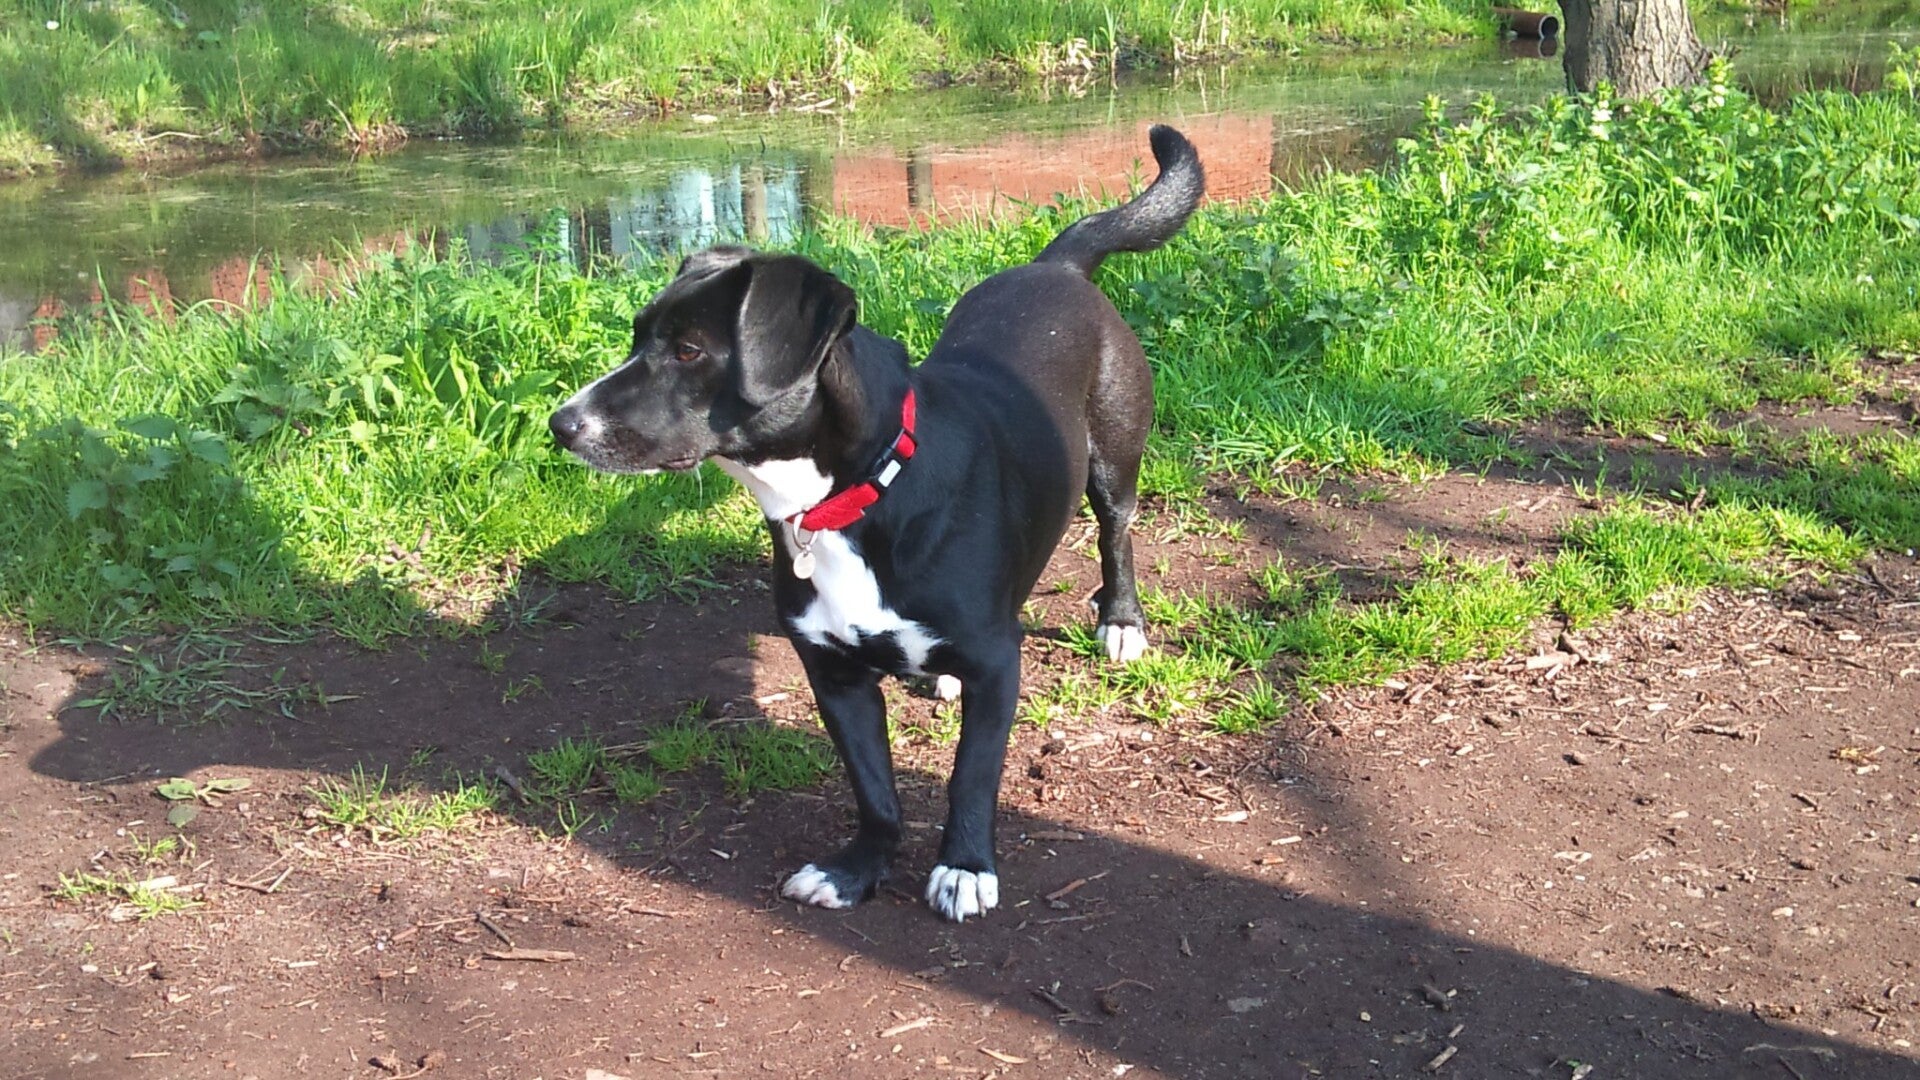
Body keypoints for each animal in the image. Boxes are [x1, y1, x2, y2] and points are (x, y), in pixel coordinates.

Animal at [550, 125, 1204, 921]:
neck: (853, 495)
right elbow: (874, 789)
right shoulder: (833, 675)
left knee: (1117, 534)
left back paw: (1121, 622)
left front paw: (964, 867)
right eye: (637, 336)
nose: (561, 423)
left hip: (1114, 455)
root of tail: (1057, 267)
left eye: (688, 350)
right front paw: (856, 870)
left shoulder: (997, 662)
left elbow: (971, 775)